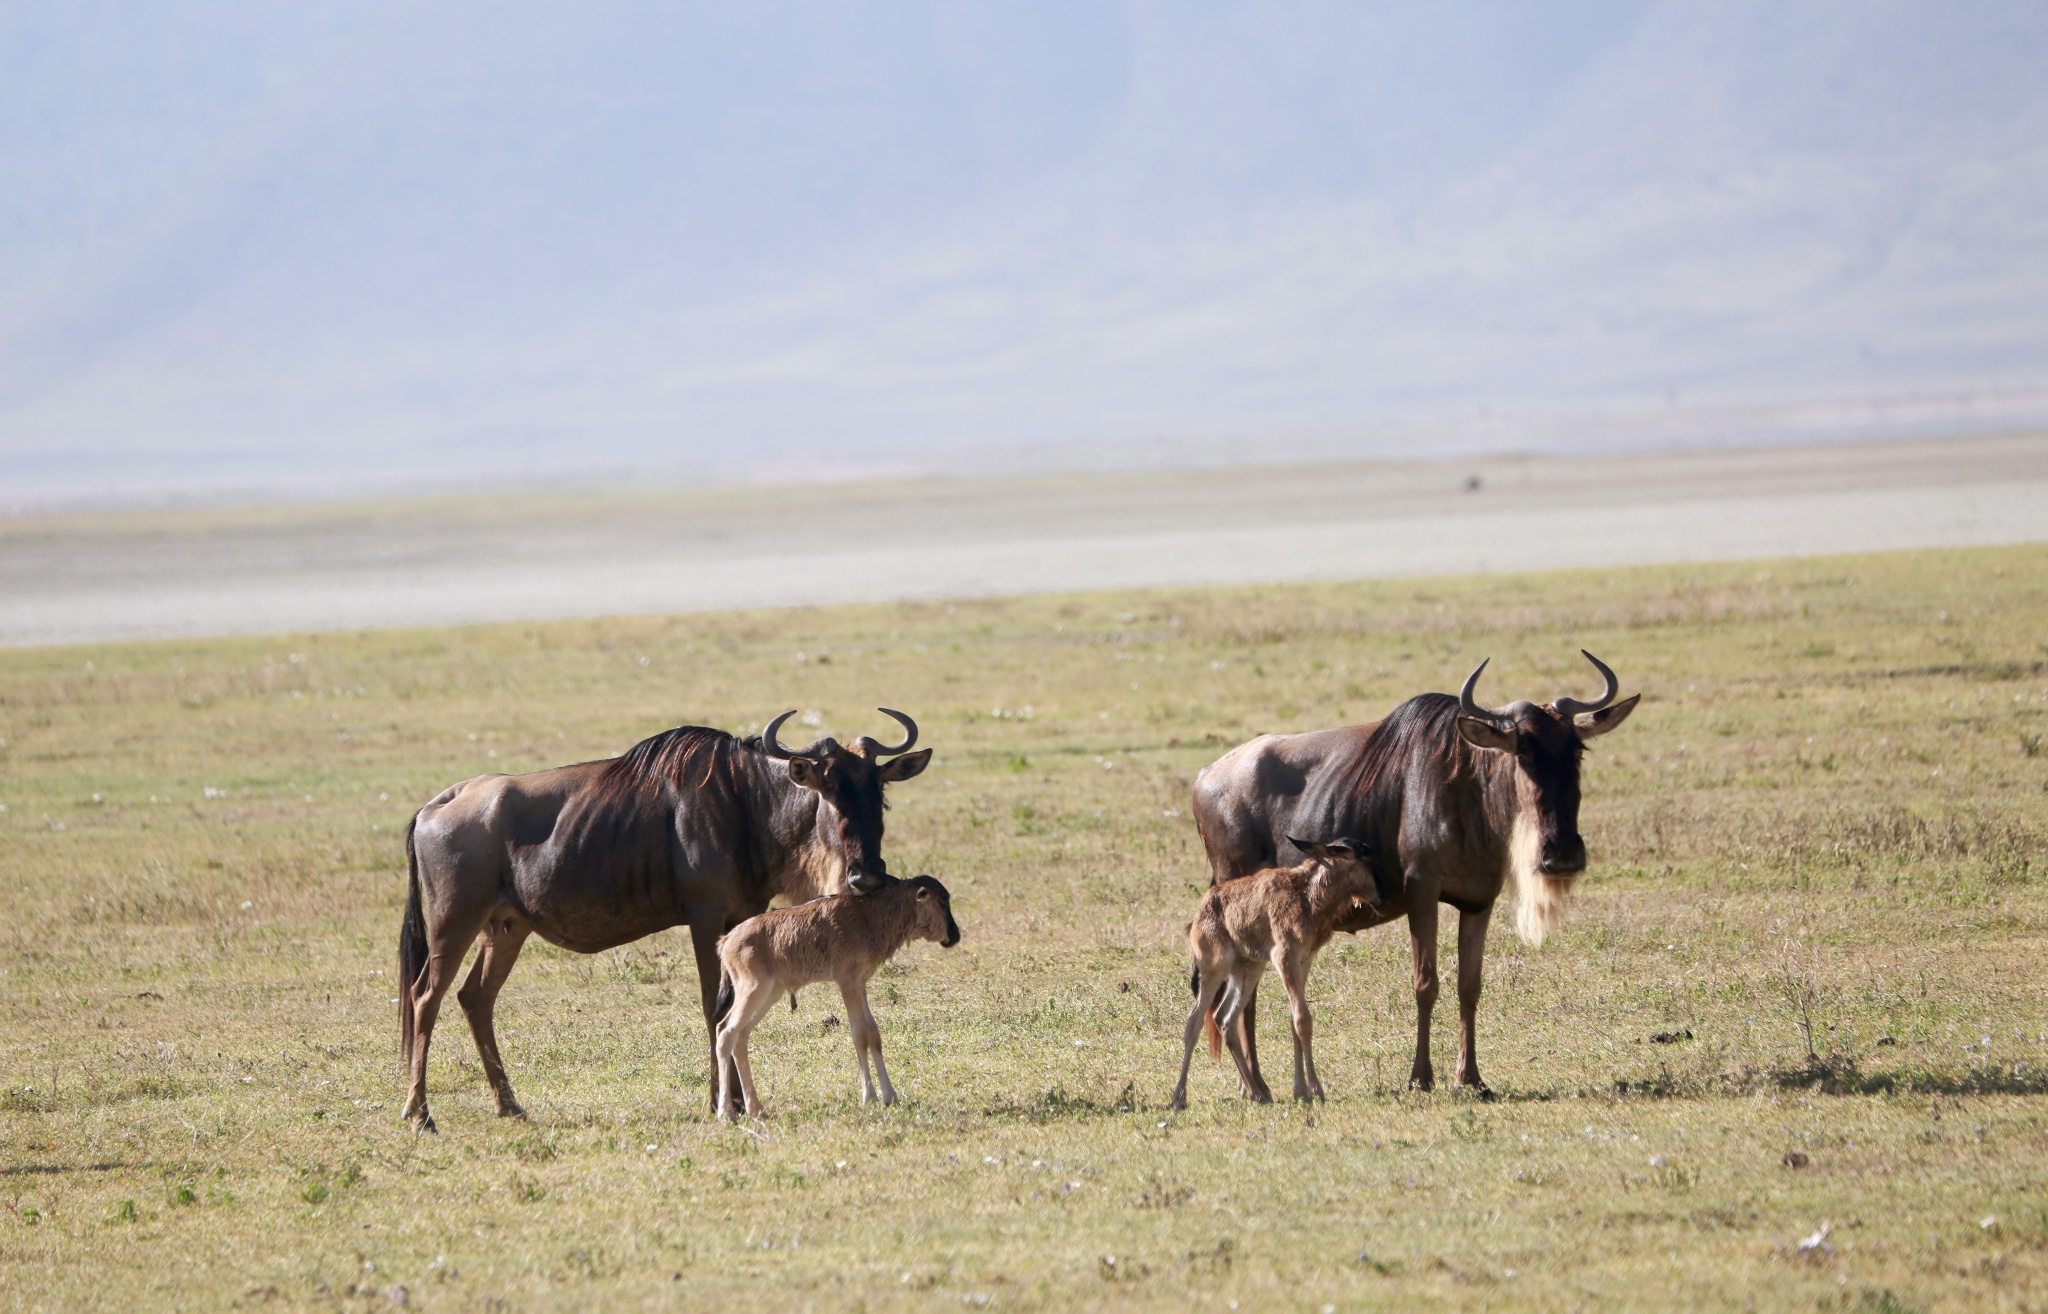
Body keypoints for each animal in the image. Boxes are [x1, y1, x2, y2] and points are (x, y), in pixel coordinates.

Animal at [712, 867, 958, 1113]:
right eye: (941, 901)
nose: (955, 935)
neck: (869, 916)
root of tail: (726, 941)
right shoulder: (846, 983)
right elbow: (859, 1034)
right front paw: (869, 1097)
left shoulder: (859, 984)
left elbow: (873, 1033)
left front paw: (890, 1096)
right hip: (753, 990)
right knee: (725, 1033)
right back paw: (726, 1112)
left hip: (771, 993)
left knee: (740, 1036)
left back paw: (756, 1109)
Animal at [1171, 839, 1376, 1105]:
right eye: (1365, 860)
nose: (1378, 896)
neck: (1306, 896)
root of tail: (1198, 915)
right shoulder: (1284, 958)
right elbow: (1302, 1019)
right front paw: (1316, 1089)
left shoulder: (1304, 961)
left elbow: (1295, 1018)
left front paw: (1301, 1090)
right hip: (1213, 969)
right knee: (1195, 1020)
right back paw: (1179, 1097)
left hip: (1249, 970)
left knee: (1225, 1018)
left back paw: (1257, 1093)